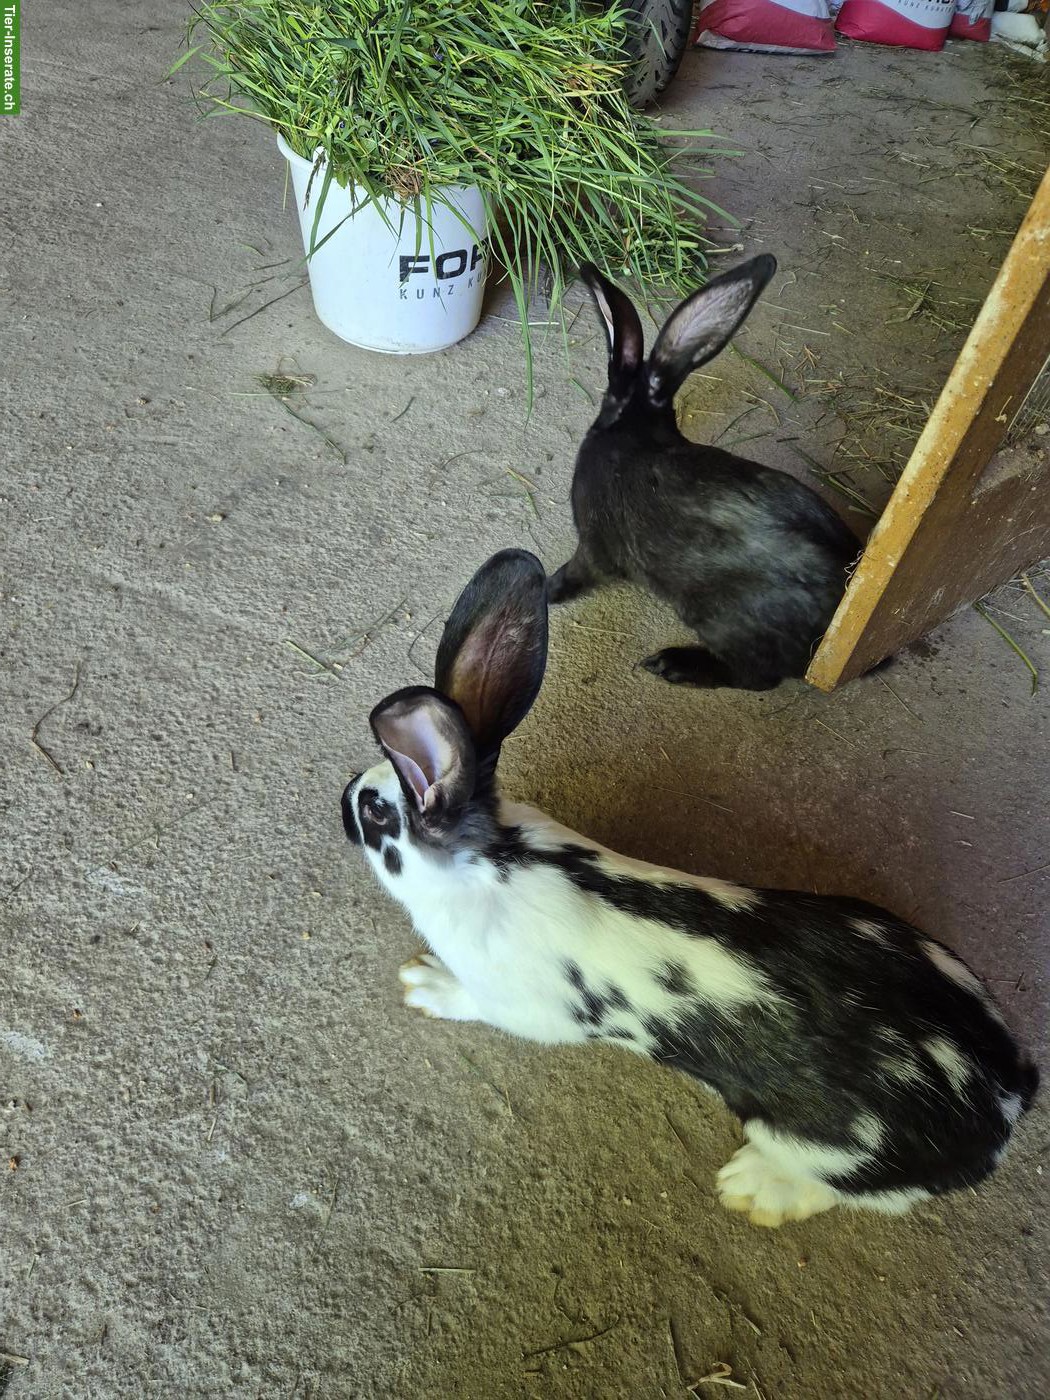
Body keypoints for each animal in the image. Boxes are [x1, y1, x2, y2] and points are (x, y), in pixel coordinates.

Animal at [341, 549, 1038, 1228]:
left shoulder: (521, 1007)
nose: (344, 801)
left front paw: (424, 984)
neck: (492, 861)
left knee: (854, 1193)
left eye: (375, 812)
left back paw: (753, 1190)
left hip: (825, 1150)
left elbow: (472, 1003)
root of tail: (1006, 1099)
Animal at [549, 254, 866, 691]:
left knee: (757, 678)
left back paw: (674, 664)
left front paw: (549, 589)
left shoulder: (595, 546)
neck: (633, 431)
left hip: (721, 620)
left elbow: (579, 571)